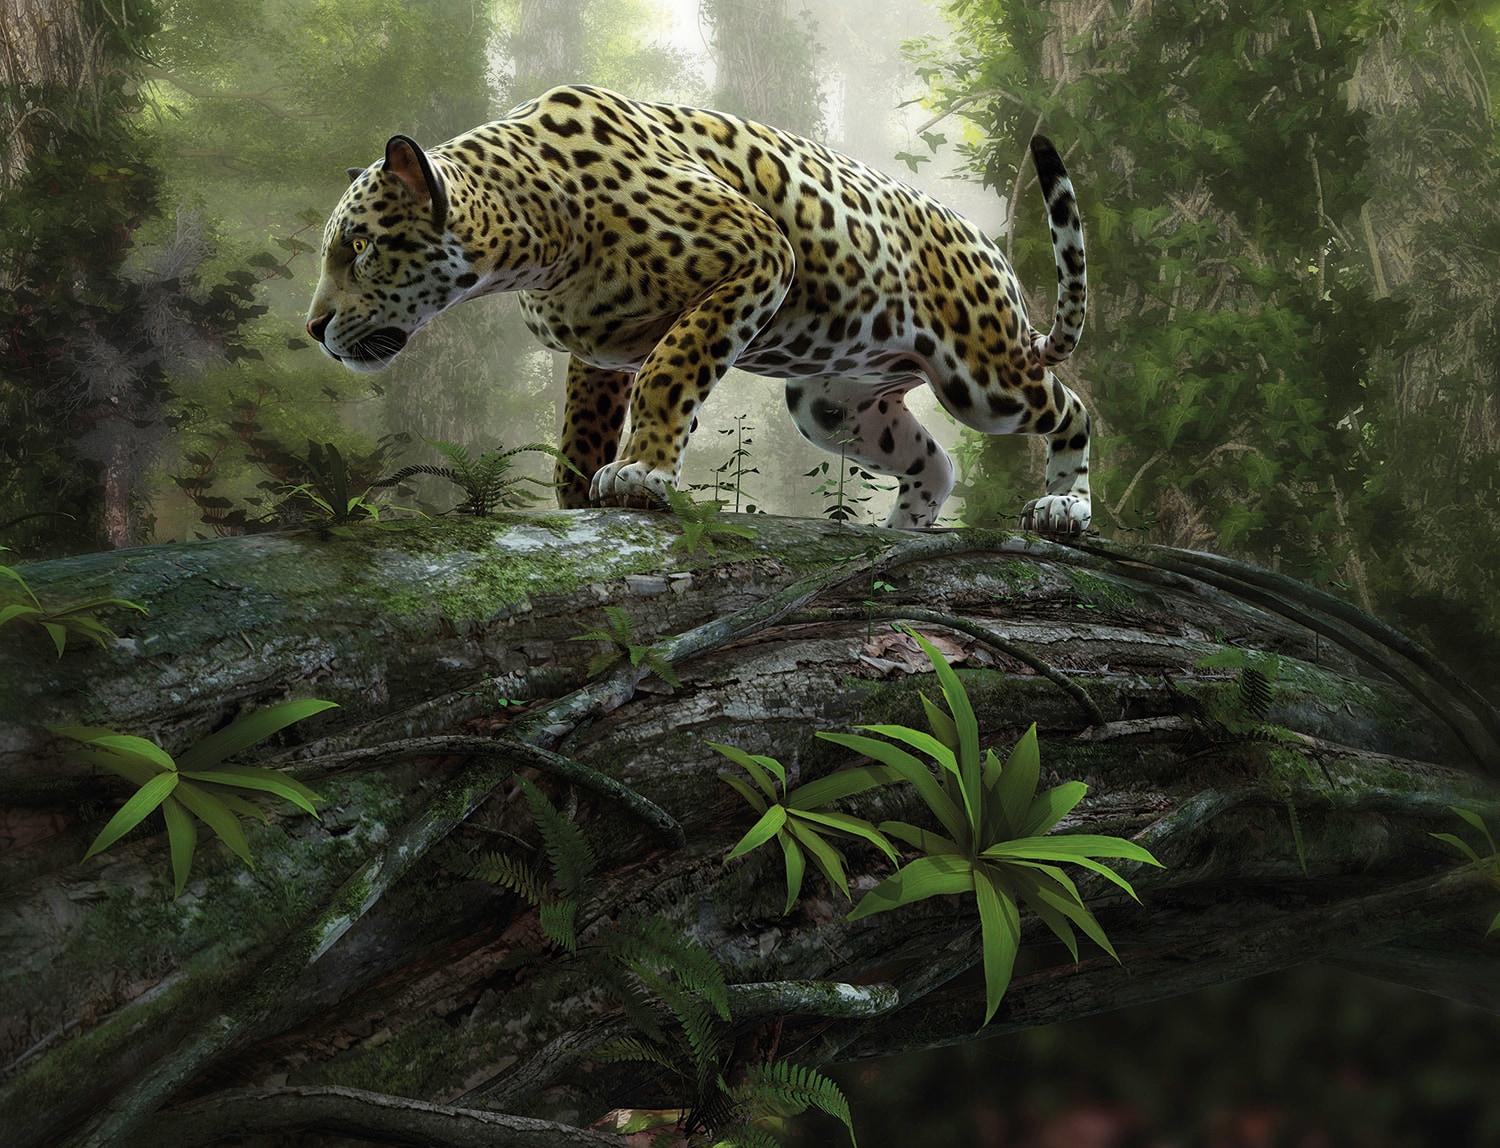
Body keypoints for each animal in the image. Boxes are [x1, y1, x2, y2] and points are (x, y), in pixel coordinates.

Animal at [307, 84, 1091, 533]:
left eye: (360, 246)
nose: (313, 329)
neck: (535, 232)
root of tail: (988, 249)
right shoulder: (600, 347)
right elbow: (581, 430)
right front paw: (580, 499)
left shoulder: (758, 254)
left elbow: (671, 371)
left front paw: (640, 475)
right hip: (832, 405)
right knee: (937, 462)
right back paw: (898, 532)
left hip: (982, 378)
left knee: (1073, 409)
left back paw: (1065, 506)